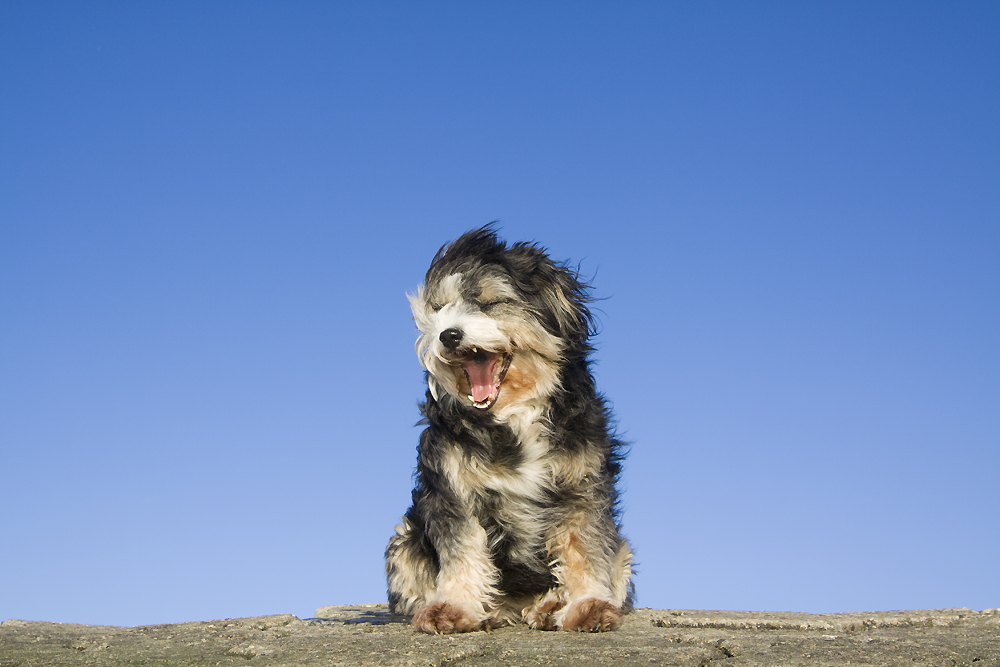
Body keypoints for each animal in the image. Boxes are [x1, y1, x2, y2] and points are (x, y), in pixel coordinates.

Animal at [384, 227, 632, 636]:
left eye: (490, 302)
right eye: (439, 309)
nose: (448, 336)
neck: (512, 415)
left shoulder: (583, 487)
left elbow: (583, 547)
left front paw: (586, 605)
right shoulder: (452, 490)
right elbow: (462, 551)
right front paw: (454, 606)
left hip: (623, 552)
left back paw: (549, 605)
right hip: (404, 537)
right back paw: (491, 610)